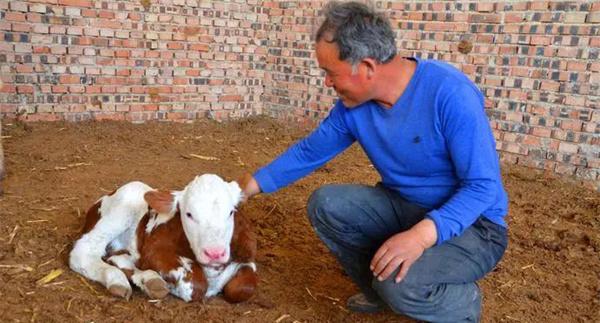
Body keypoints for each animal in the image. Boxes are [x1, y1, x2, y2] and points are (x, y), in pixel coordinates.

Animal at [70, 175, 258, 304]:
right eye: (189, 214)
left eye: (231, 212)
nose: (215, 253)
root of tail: (101, 200)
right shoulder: (154, 251)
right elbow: (196, 286)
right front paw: (177, 287)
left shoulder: (245, 259)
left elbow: (245, 288)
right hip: (121, 209)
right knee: (83, 251)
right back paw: (119, 279)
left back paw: (149, 280)